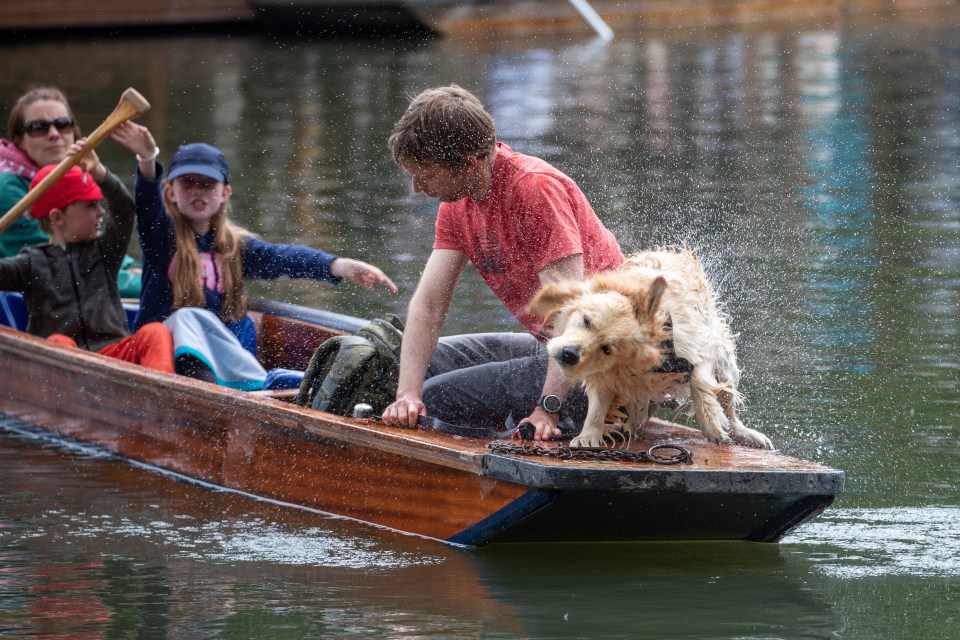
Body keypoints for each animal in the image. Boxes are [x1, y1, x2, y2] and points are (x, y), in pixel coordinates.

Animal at [528, 246, 776, 450]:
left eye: (607, 348)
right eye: (586, 320)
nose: (568, 354)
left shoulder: (698, 341)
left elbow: (699, 379)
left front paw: (710, 421)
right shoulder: (605, 372)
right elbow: (598, 402)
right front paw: (588, 434)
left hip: (724, 359)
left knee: (727, 397)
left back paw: (745, 432)